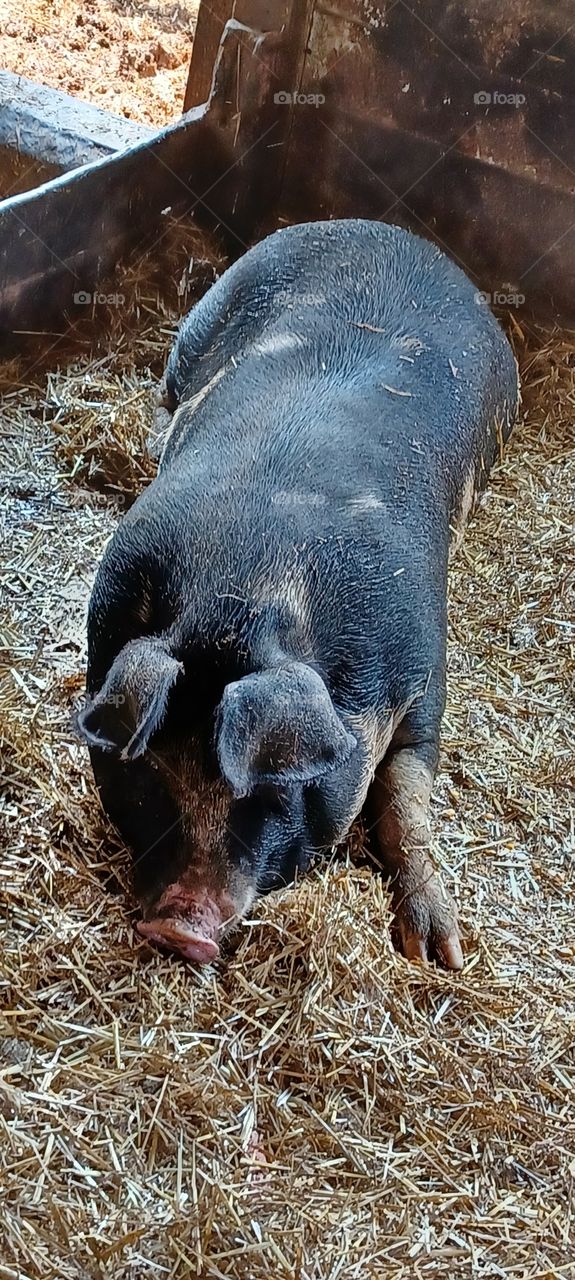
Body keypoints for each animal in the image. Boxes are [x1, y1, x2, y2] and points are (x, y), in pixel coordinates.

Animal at [79, 218, 519, 970]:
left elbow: (407, 793)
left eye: (272, 790)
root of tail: (383, 229)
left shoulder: (424, 665)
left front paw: (439, 952)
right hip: (202, 322)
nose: (179, 926)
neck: (245, 593)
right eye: (149, 775)